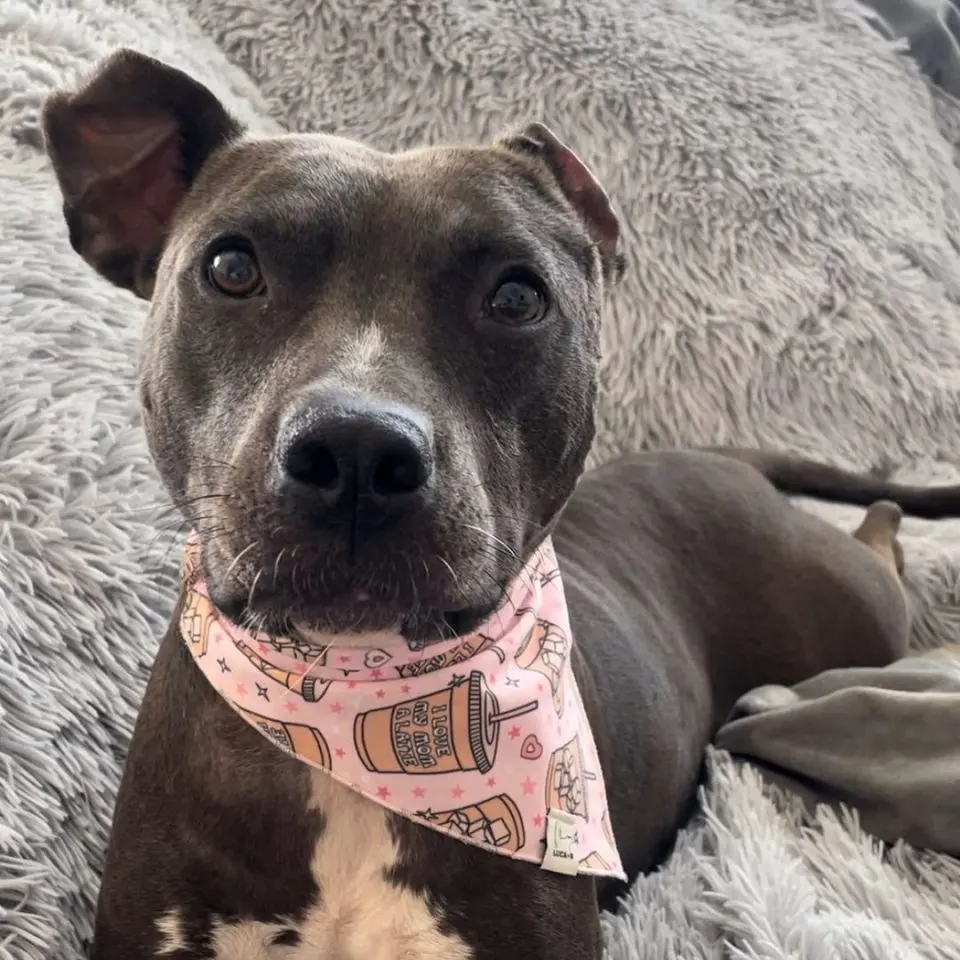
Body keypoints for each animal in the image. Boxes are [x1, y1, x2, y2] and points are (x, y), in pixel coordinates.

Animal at [43, 49, 960, 960]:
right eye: (231, 268)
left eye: (517, 297)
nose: (357, 449)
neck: (349, 713)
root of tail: (723, 459)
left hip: (843, 614)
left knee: (884, 542)